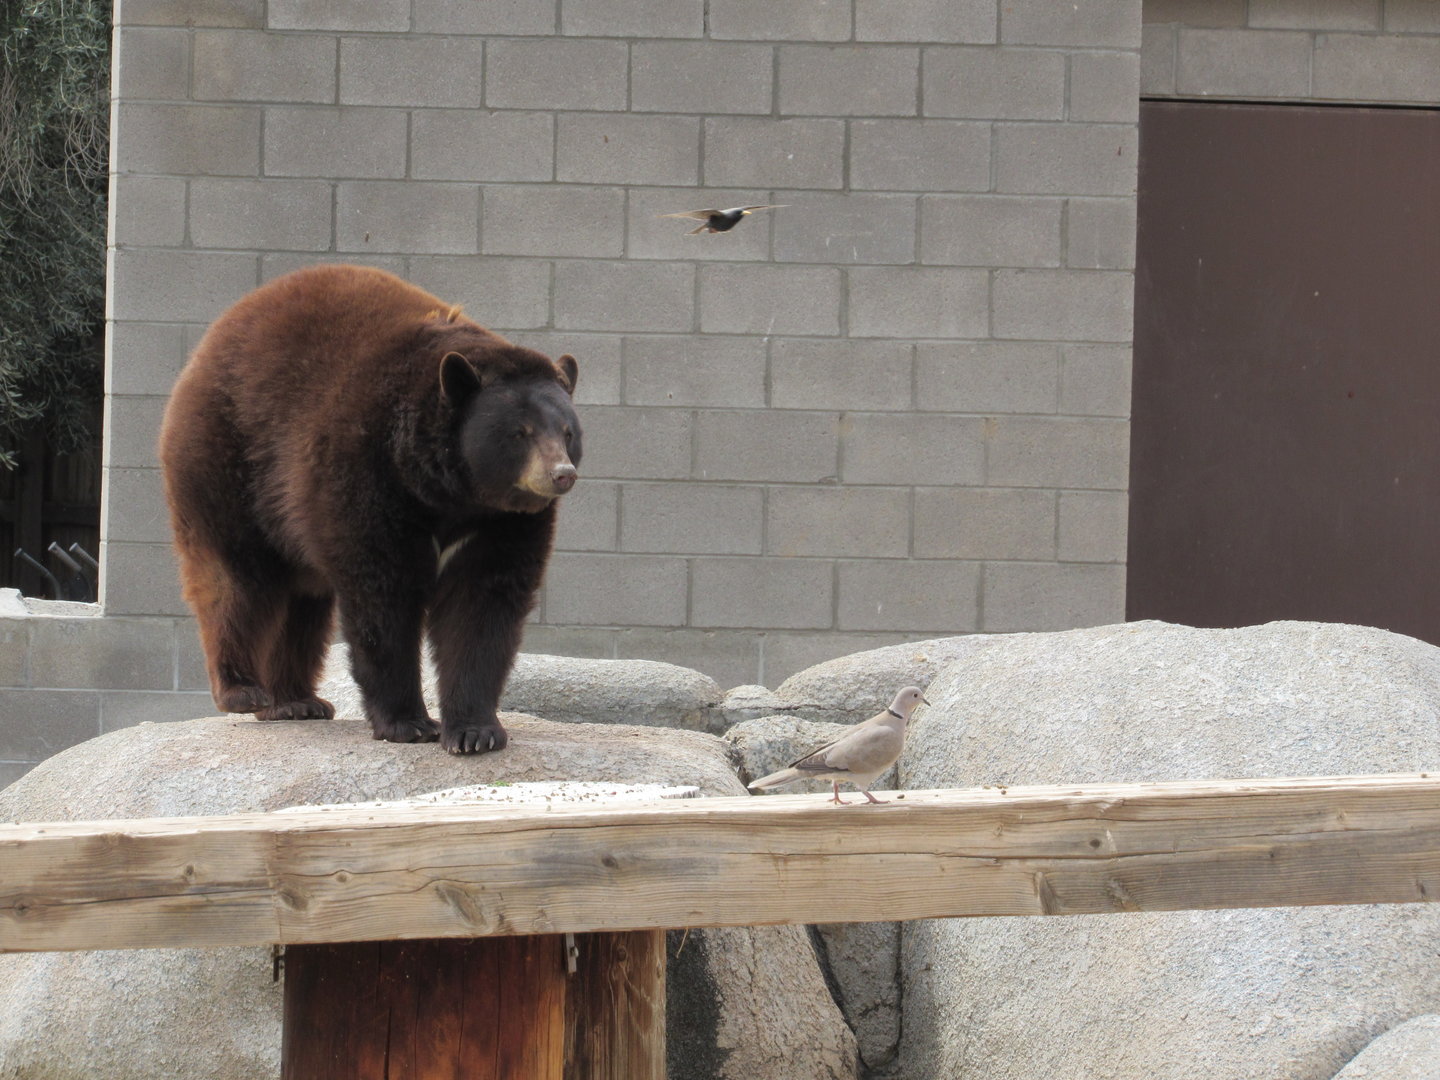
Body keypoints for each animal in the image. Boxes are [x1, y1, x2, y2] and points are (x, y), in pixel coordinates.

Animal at [159, 263, 581, 754]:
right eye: (520, 432)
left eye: (568, 431)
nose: (561, 474)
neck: (447, 489)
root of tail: (208, 344)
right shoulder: (367, 471)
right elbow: (382, 593)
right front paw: (408, 723)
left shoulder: (502, 522)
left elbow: (483, 604)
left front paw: (475, 731)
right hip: (227, 463)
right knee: (237, 582)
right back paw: (243, 690)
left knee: (302, 603)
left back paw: (295, 700)